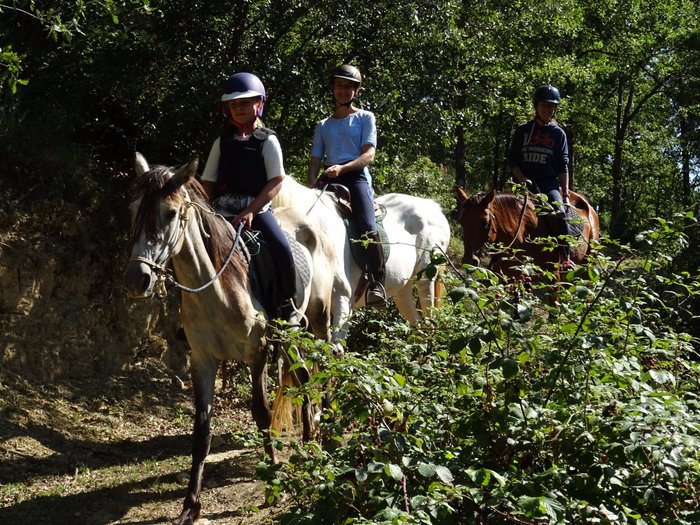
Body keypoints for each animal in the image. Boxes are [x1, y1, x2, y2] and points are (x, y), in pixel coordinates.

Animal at [270, 175, 452, 340]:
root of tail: (432, 207)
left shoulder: (343, 300)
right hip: (403, 288)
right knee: (418, 327)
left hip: (426, 278)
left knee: (429, 320)